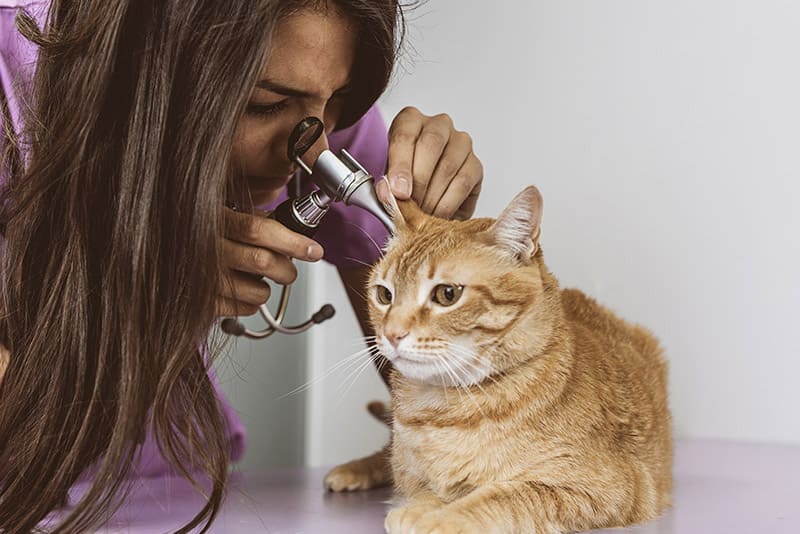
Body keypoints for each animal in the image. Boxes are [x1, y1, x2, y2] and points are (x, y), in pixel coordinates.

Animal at [372, 186, 672, 532]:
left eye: (447, 294)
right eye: (384, 295)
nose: (392, 334)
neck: (444, 413)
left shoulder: (604, 488)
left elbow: (503, 497)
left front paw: (441, 519)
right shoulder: (411, 478)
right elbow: (429, 491)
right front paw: (417, 508)